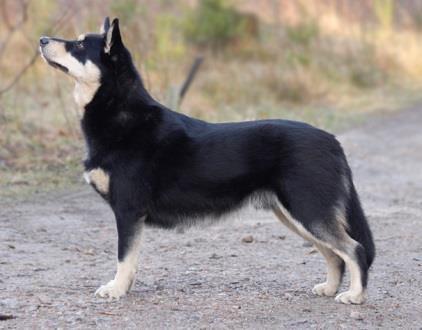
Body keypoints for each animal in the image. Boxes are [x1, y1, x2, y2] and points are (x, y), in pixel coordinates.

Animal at [40, 17, 376, 304]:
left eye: (79, 45)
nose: (42, 39)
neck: (119, 111)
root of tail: (331, 140)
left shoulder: (128, 211)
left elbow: (124, 258)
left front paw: (117, 289)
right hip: (296, 214)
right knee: (334, 254)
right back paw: (329, 289)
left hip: (308, 210)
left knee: (353, 249)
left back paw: (354, 296)